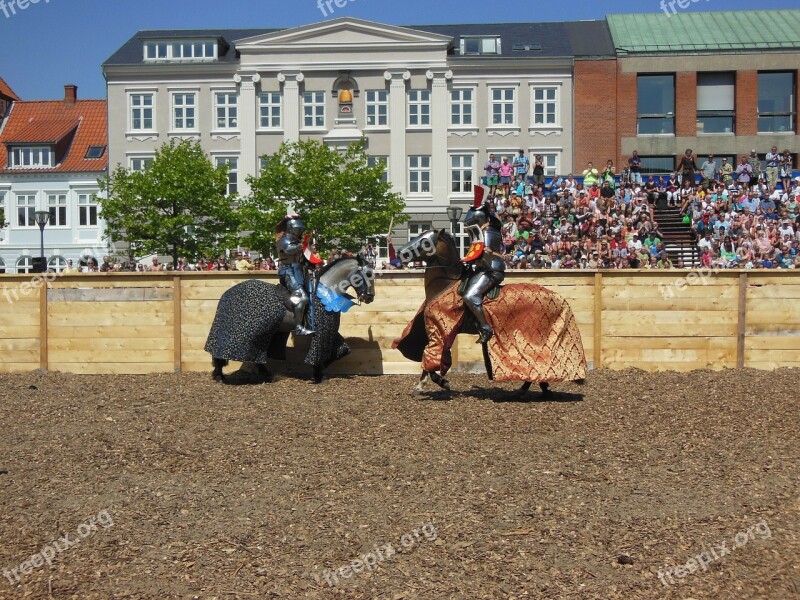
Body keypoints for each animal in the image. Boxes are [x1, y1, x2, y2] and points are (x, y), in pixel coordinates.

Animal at [203, 255, 372, 382]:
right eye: (369, 274)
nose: (369, 297)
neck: (326, 292)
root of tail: (226, 294)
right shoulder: (322, 331)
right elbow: (319, 354)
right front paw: (318, 374)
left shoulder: (330, 331)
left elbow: (343, 350)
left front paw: (320, 370)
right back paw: (220, 375)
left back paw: (264, 374)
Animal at [394, 232, 588, 396]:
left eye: (424, 241)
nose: (399, 252)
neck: (445, 283)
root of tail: (560, 298)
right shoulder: (443, 331)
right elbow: (435, 354)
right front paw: (430, 383)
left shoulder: (440, 329)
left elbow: (432, 354)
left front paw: (433, 384)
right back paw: (533, 389)